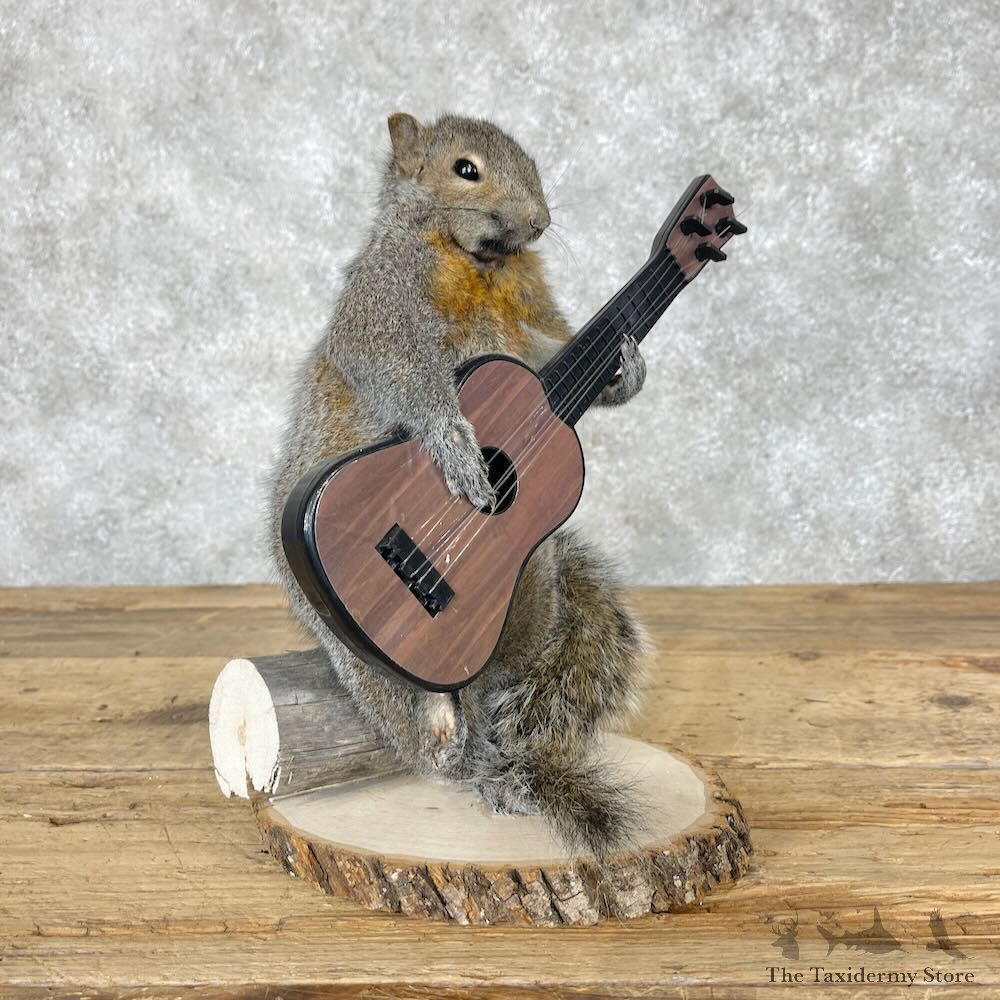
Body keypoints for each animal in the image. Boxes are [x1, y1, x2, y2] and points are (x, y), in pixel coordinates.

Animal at [269, 112, 650, 858]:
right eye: (464, 169)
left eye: (532, 161)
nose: (540, 221)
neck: (480, 262)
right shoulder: (385, 296)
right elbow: (396, 367)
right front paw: (452, 441)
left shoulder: (533, 325)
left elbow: (560, 355)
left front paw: (625, 367)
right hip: (338, 627)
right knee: (392, 694)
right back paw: (441, 733)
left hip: (531, 590)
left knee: (491, 678)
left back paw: (487, 749)